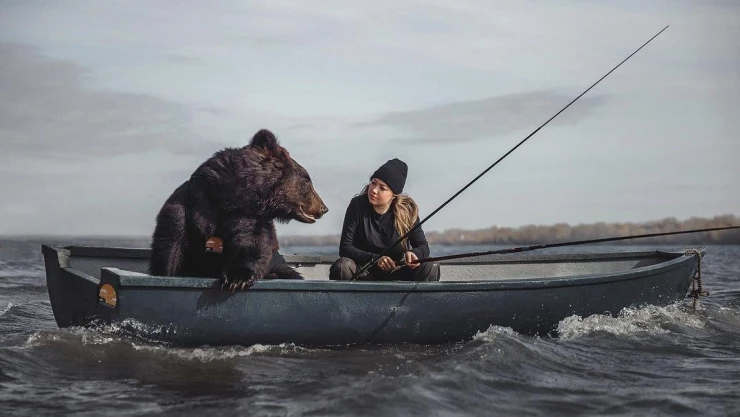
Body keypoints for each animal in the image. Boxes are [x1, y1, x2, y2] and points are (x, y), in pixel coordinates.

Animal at [149, 129, 328, 291]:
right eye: (307, 180)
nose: (324, 208)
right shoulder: (186, 208)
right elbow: (169, 252)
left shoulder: (248, 216)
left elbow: (251, 243)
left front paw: (237, 278)